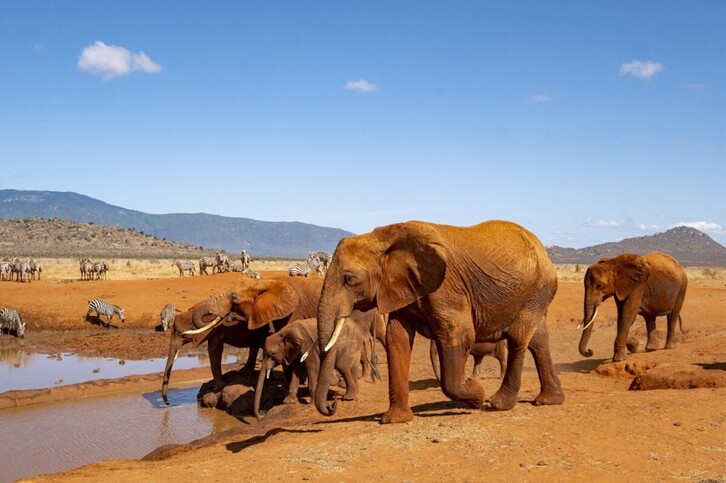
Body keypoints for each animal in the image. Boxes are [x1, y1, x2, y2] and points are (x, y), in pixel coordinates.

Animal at [161, 276, 324, 405]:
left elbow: (215, 350)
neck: (265, 282)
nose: (168, 402)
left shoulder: (295, 311)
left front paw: (218, 387)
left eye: (180, 333)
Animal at [315, 219, 564, 424]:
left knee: (517, 337)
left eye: (349, 279)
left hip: (536, 289)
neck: (383, 237)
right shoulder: (402, 287)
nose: (332, 404)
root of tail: (542, 249)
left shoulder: (445, 287)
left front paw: (476, 393)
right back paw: (549, 400)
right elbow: (397, 338)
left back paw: (497, 404)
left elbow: (460, 334)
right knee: (538, 340)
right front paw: (395, 419)